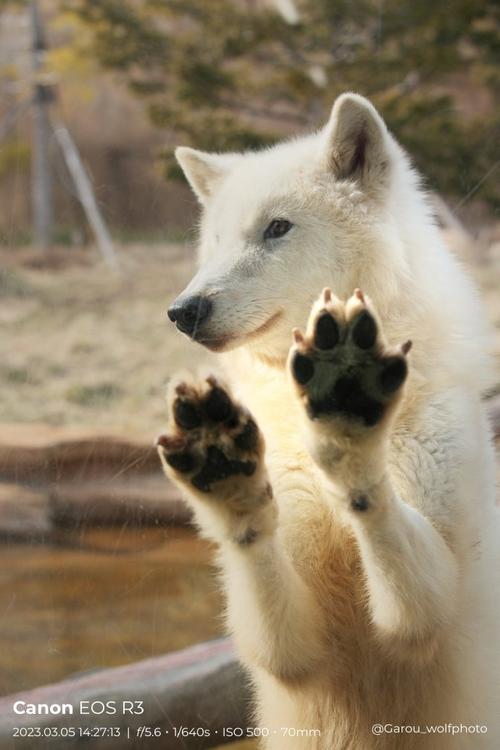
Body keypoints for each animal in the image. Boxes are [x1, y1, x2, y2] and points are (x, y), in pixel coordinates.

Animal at [157, 95, 500, 750]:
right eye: (214, 240)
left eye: (277, 228)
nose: (183, 311)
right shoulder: (295, 646)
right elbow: (269, 603)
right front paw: (228, 481)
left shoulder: (437, 603)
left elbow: (397, 545)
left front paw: (349, 423)